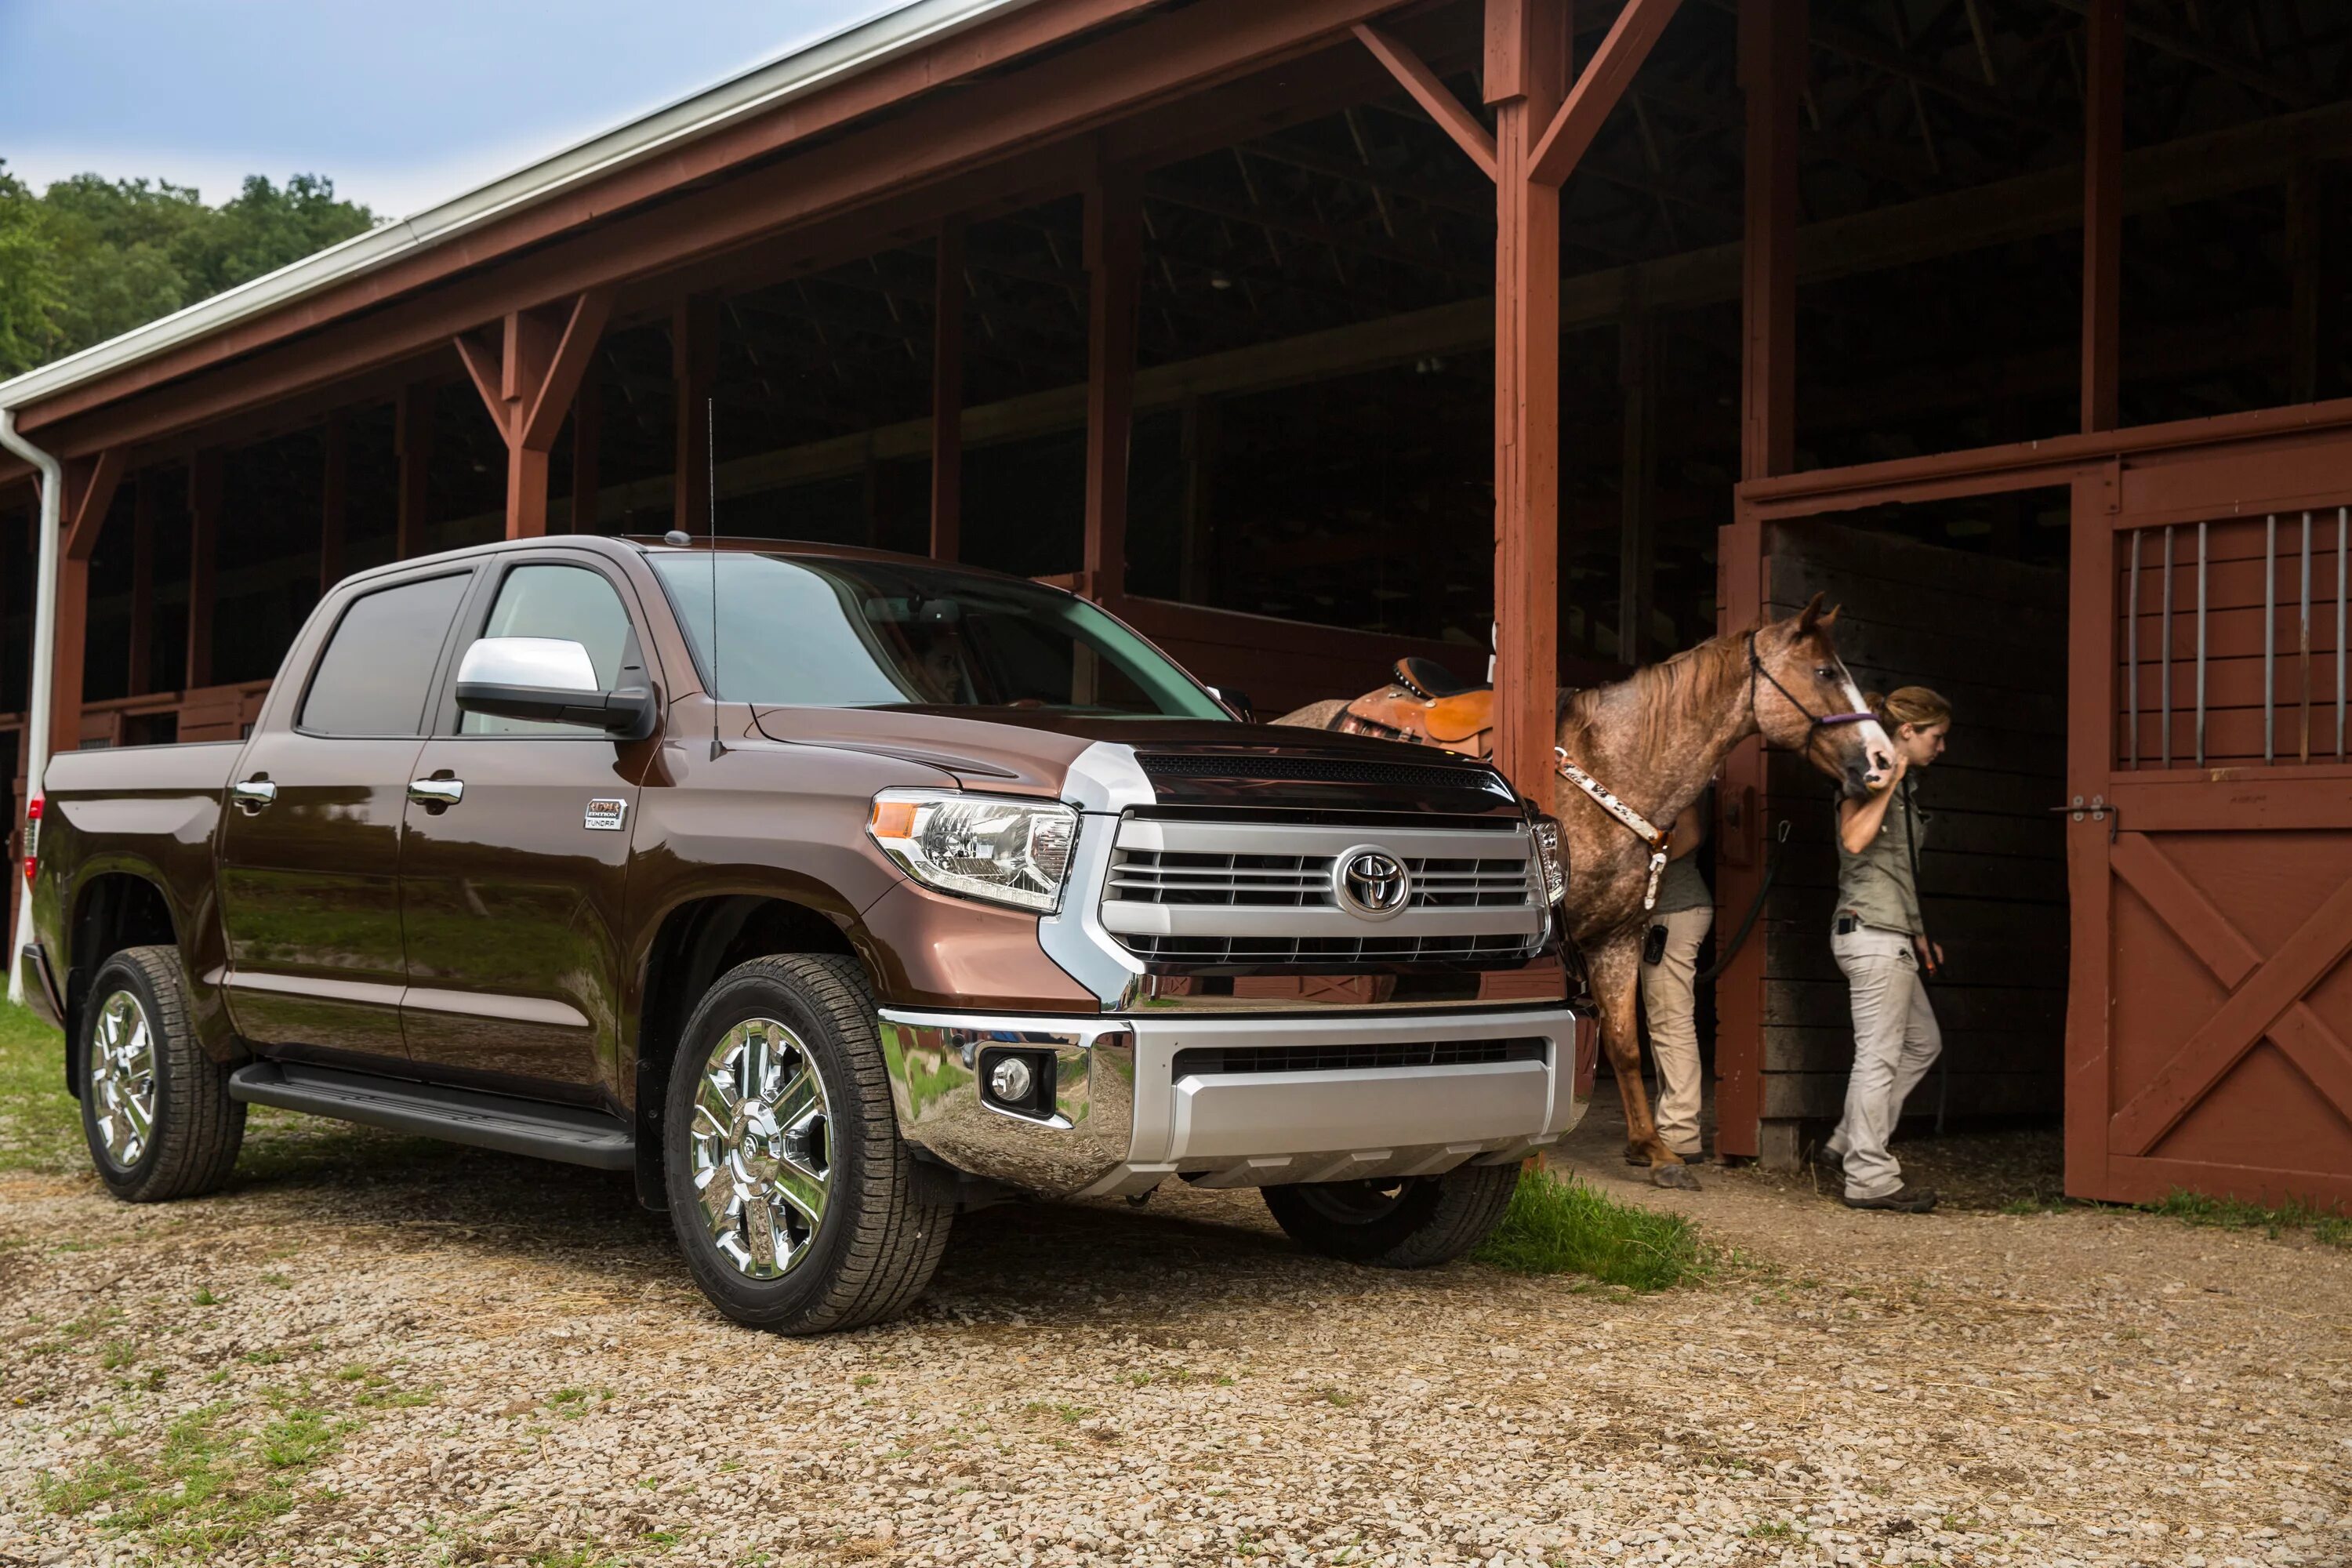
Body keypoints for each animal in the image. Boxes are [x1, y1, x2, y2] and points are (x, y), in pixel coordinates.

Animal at [1279, 601, 1900, 1189]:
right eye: (1824, 671)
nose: (1883, 761)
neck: (1615, 765)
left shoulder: (1619, 937)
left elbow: (1624, 1043)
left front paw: (1655, 1151)